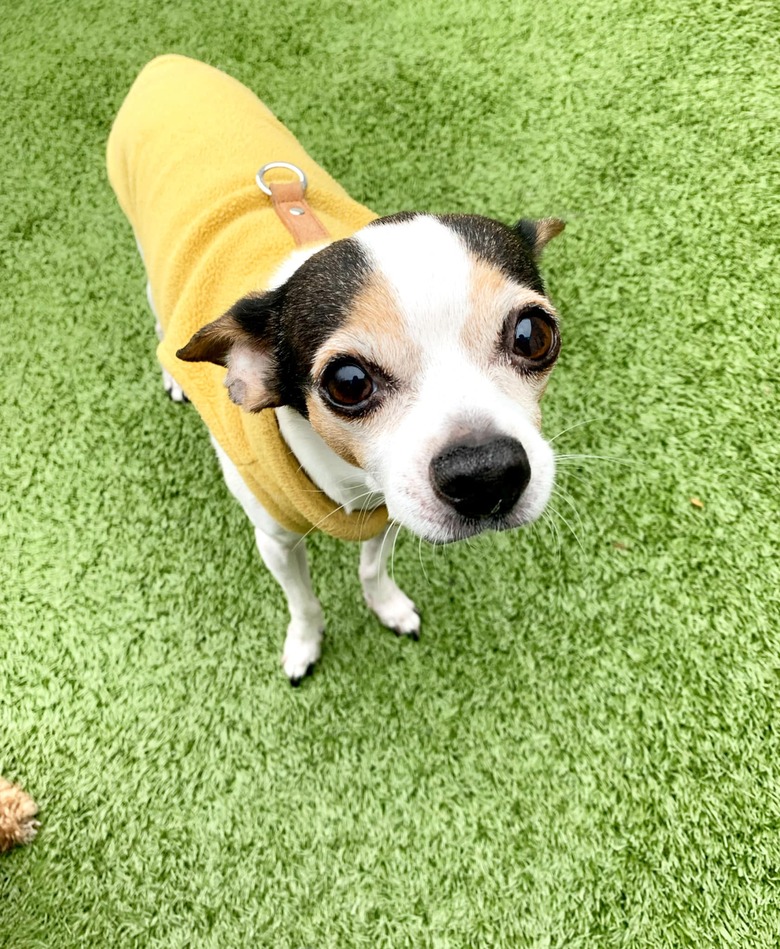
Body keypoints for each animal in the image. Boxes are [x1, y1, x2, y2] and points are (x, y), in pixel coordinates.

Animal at [106, 53, 564, 680]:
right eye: (348, 383)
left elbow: (371, 568)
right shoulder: (276, 542)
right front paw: (304, 643)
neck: (350, 485)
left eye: (532, 335)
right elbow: (303, 601)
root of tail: (164, 63)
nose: (486, 472)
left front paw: (387, 605)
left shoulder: (390, 510)